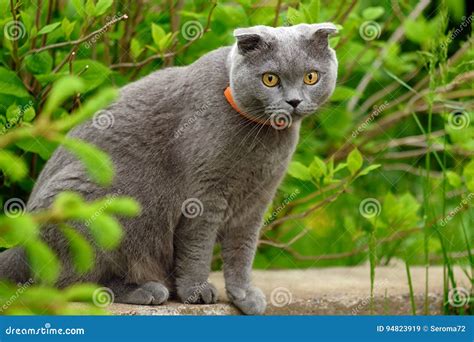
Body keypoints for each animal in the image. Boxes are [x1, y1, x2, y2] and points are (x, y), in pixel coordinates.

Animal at [1, 22, 338, 314]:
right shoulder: (204, 195)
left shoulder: (256, 201)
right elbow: (197, 248)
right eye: (270, 79)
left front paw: (243, 296)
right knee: (69, 283)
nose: (293, 101)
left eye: (311, 77)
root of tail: (19, 248)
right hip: (90, 203)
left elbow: (242, 252)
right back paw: (146, 290)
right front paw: (196, 291)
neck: (263, 141)